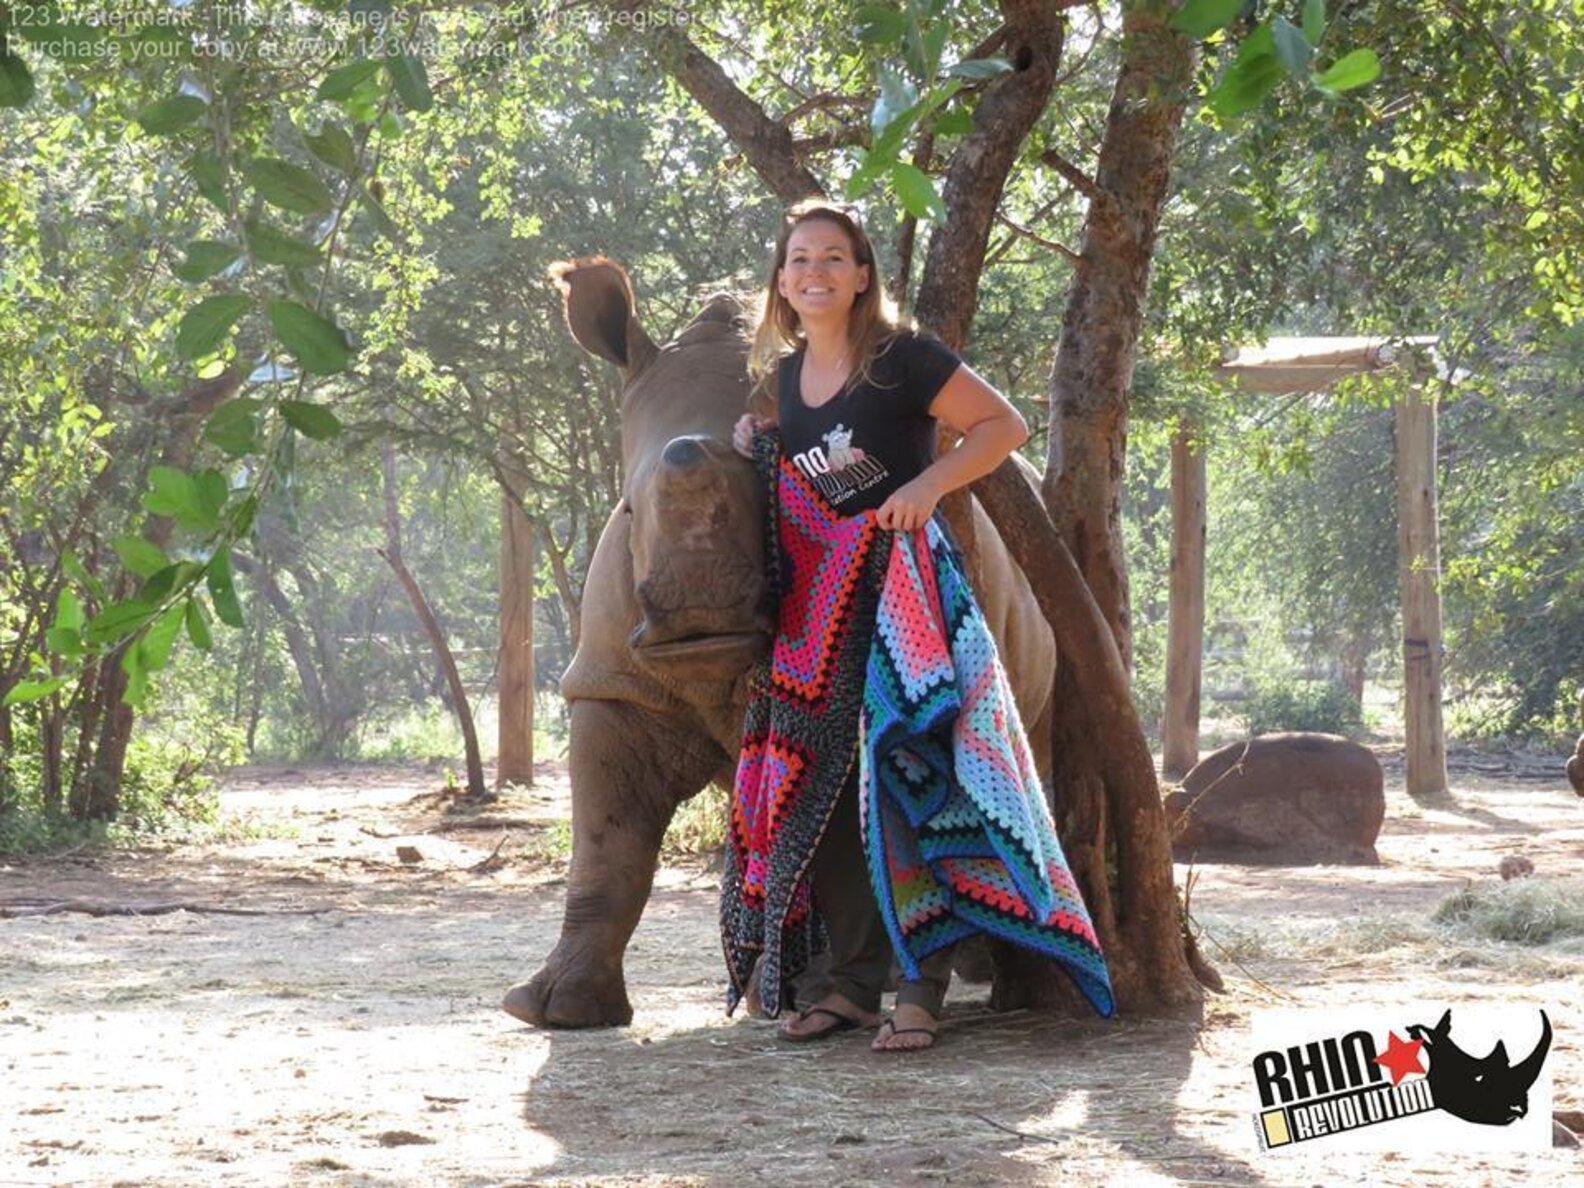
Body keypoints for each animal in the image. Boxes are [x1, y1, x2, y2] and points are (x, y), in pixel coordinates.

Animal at [502, 257, 1057, 1028]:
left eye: (775, 502)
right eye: (628, 512)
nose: (700, 617)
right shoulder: (613, 681)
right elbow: (607, 847)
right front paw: (554, 1009)